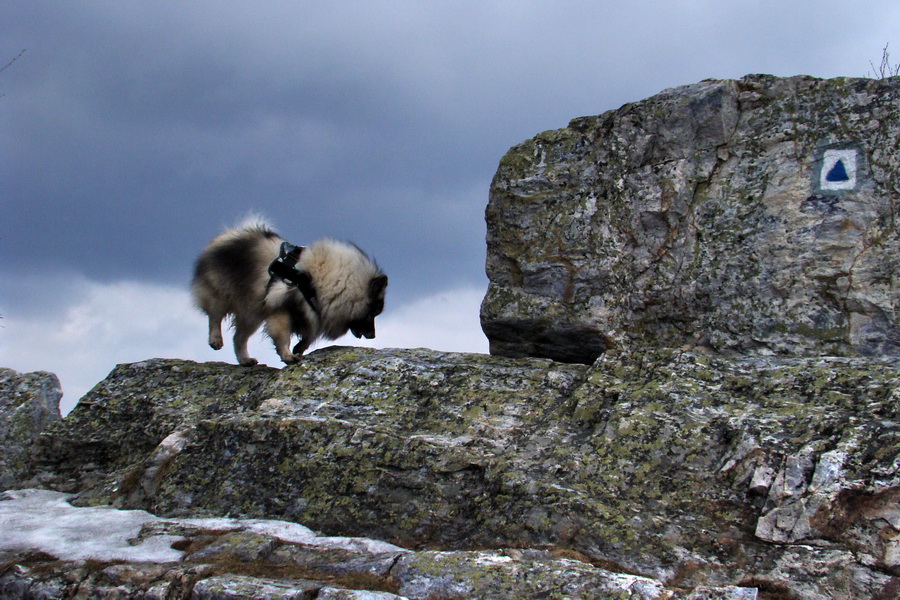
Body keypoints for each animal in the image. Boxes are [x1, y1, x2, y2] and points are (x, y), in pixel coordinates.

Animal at [190, 220, 386, 366]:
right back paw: (215, 339)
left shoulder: (312, 313)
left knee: (239, 338)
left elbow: (308, 336)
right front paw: (288, 355)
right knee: (215, 316)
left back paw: (245, 359)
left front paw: (299, 348)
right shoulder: (283, 310)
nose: (373, 335)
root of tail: (229, 234)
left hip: (252, 313)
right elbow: (283, 336)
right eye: (374, 312)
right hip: (222, 294)